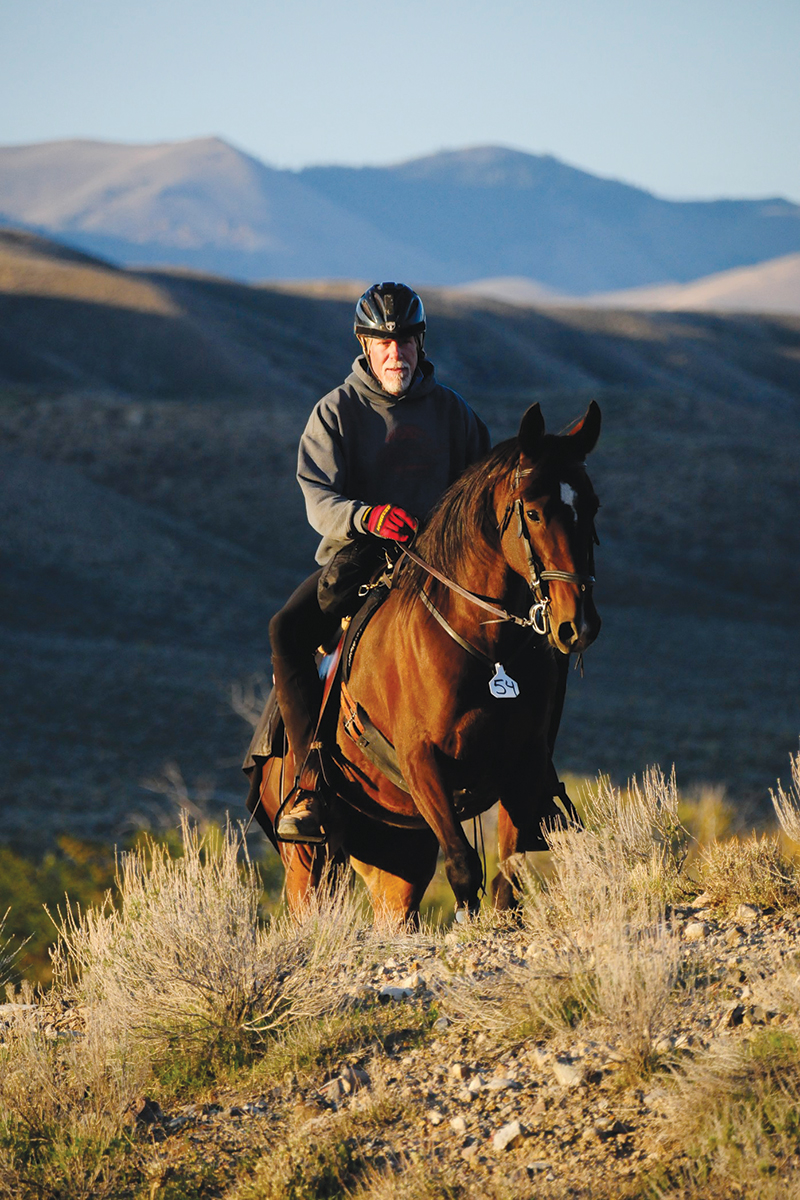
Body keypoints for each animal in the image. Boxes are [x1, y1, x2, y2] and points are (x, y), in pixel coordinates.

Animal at [250, 400, 599, 916]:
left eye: (591, 506)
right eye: (534, 512)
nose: (579, 625)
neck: (486, 652)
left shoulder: (524, 764)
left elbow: (509, 875)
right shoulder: (423, 763)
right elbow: (464, 868)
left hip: (397, 854)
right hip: (308, 860)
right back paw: (305, 809)